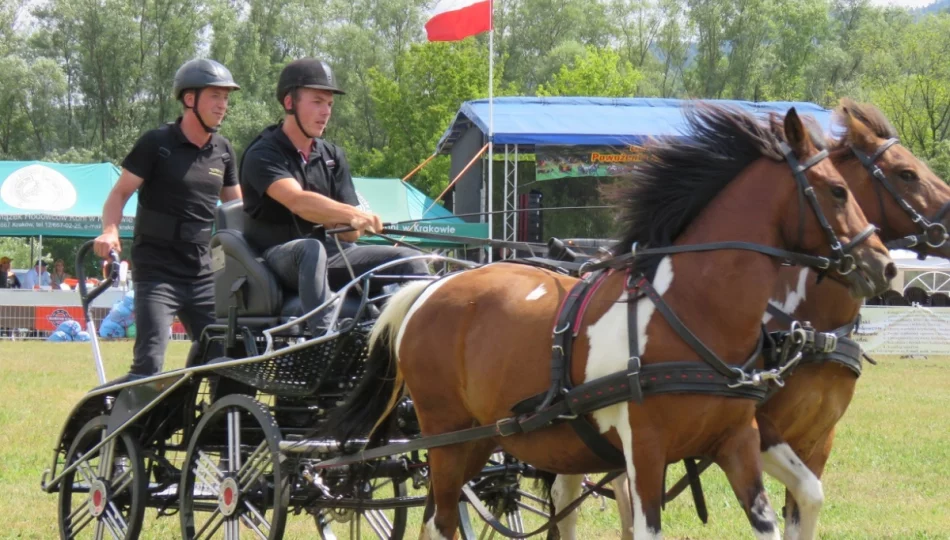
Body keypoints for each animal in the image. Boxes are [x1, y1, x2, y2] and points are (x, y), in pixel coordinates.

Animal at [330, 105, 900, 540]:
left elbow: (774, 518)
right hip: (447, 438)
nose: (884, 266)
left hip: (477, 442)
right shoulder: (645, 451)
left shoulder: (738, 441)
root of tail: (429, 289)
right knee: (443, 521)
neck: (692, 310)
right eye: (836, 191)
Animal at [564, 99, 950, 536]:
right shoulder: (760, 429)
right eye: (907, 173)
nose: (886, 266)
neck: (811, 328)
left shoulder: (817, 439)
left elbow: (805, 505)